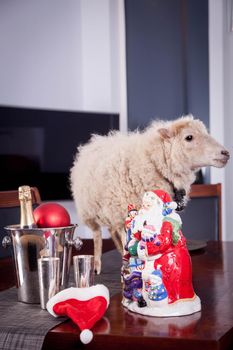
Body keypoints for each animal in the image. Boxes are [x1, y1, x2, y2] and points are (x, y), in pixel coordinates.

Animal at [69, 115, 229, 274]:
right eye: (189, 137)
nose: (226, 153)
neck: (154, 163)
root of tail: (94, 142)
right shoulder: (125, 212)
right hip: (90, 211)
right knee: (97, 236)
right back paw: (97, 264)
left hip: (110, 209)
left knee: (112, 230)